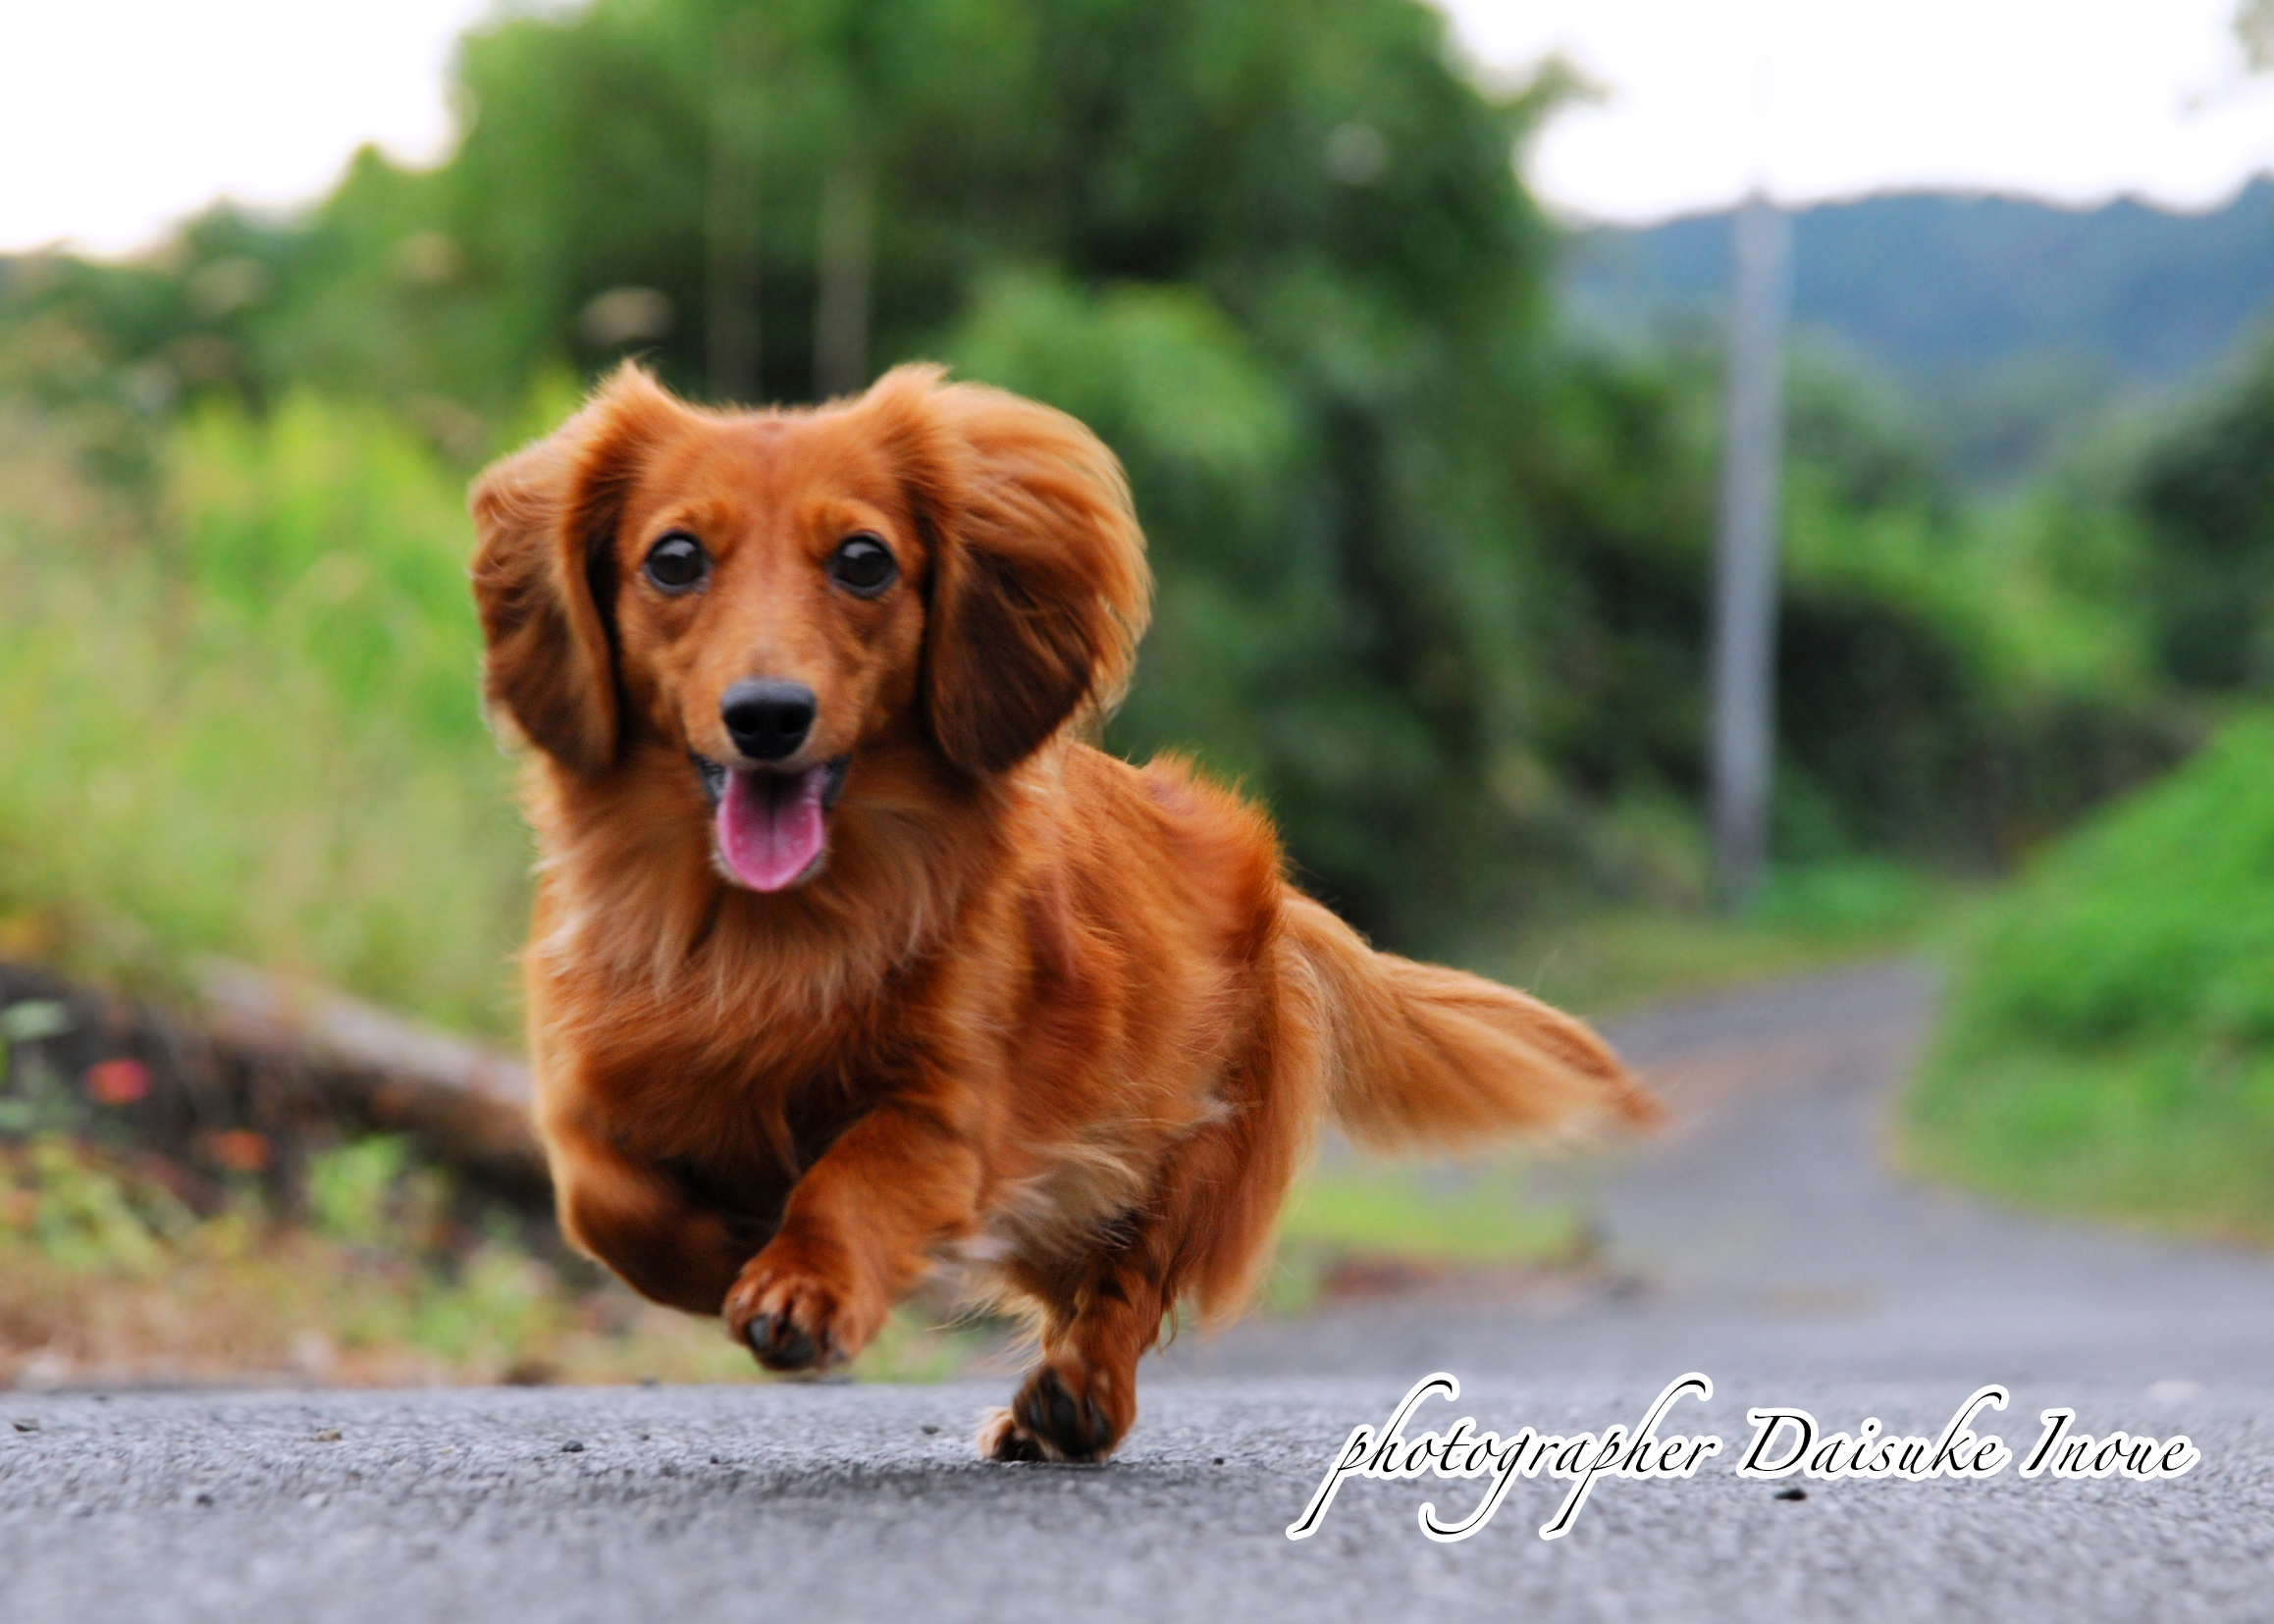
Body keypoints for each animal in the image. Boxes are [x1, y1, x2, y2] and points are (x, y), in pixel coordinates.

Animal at [465, 363, 1655, 1455]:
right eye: (673, 558)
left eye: (863, 560)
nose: (766, 716)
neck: (771, 933)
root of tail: (1275, 898)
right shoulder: (591, 1090)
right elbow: (609, 1208)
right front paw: (723, 1253)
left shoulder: (944, 1113)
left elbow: (850, 1179)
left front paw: (800, 1279)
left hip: (1169, 1144)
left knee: (1128, 1281)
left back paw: (1078, 1395)